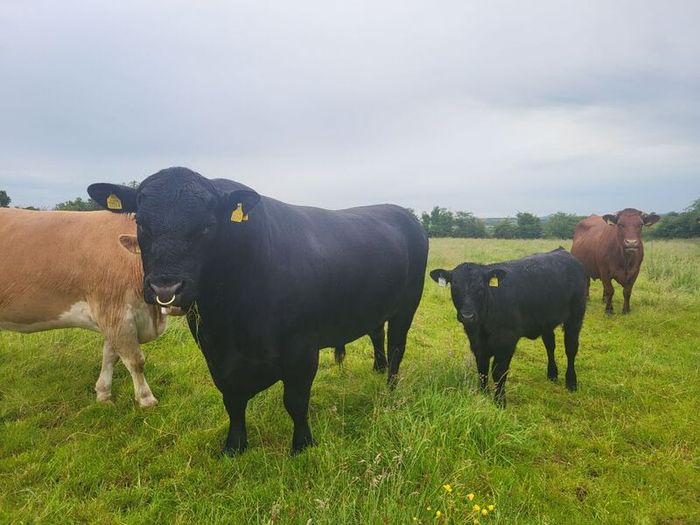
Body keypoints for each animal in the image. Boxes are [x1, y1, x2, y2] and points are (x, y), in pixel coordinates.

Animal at [0, 208, 167, 407]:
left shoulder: (115, 318)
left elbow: (110, 356)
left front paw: (103, 394)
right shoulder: (114, 314)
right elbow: (135, 360)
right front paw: (146, 399)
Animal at [88, 166, 428, 455]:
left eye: (208, 226)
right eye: (141, 222)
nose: (165, 288)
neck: (230, 319)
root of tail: (402, 213)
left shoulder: (301, 349)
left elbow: (295, 401)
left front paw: (302, 445)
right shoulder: (214, 353)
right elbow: (232, 400)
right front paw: (234, 445)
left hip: (407, 305)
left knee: (397, 345)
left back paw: (390, 387)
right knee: (376, 331)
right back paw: (378, 368)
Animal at [430, 248, 586, 407]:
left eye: (481, 287)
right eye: (455, 286)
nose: (467, 316)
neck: (482, 326)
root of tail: (563, 251)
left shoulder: (507, 342)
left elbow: (499, 372)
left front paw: (500, 402)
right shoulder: (478, 344)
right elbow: (482, 368)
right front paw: (483, 394)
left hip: (576, 316)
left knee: (571, 348)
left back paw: (571, 382)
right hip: (546, 321)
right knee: (550, 345)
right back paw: (552, 374)